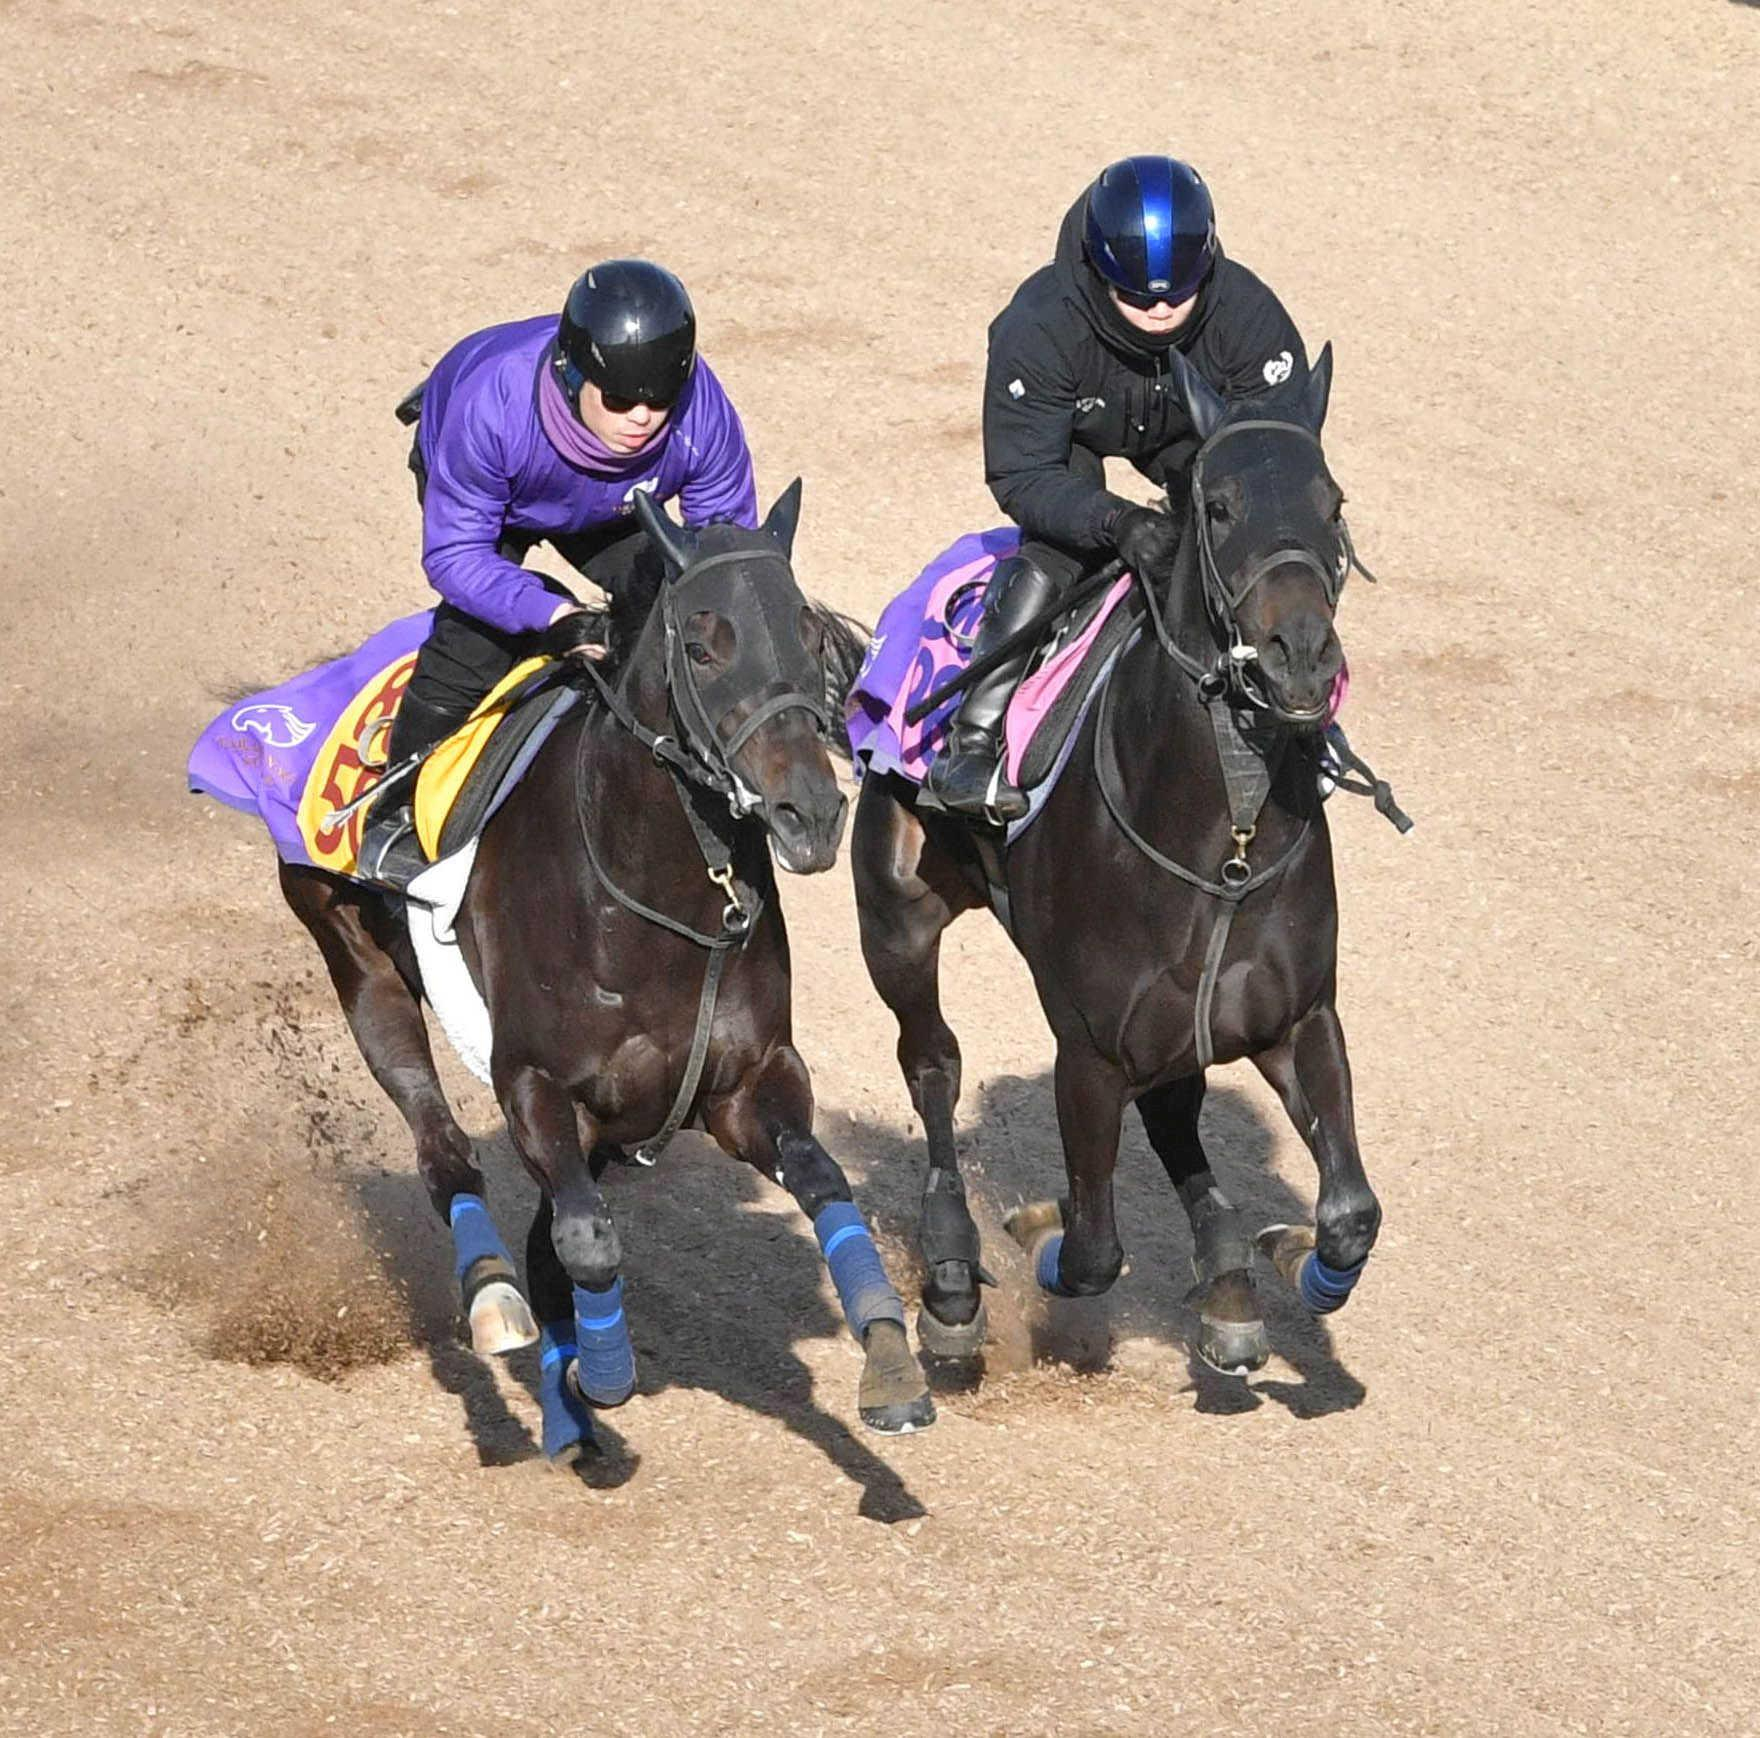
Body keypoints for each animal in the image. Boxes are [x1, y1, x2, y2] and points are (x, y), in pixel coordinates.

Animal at [281, 485, 936, 1449]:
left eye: (811, 636)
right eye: (701, 646)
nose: (809, 813)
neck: (658, 901)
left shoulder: (742, 1085)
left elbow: (822, 1180)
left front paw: (891, 1361)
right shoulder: (535, 1086)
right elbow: (588, 1242)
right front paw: (602, 1375)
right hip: (360, 966)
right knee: (445, 1153)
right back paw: (495, 1304)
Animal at [851, 353, 1386, 1379]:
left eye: (1333, 502)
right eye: (1216, 505)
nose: (1302, 658)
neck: (1225, 847)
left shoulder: (1298, 1016)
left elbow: (1350, 1215)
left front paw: (1284, 1257)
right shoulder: (1090, 1052)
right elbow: (1094, 1247)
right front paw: (1035, 1230)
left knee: (1175, 1110)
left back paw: (1228, 1280)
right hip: (896, 913)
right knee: (932, 1063)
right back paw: (951, 1279)